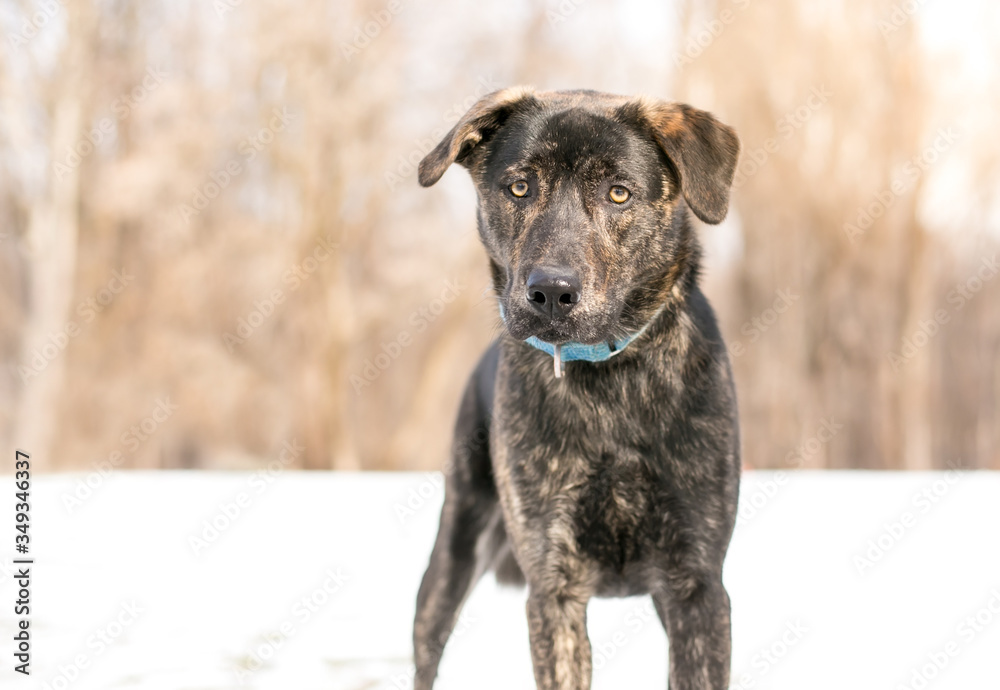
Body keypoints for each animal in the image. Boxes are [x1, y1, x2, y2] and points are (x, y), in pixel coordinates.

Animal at [408, 87, 744, 688]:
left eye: (618, 193)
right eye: (519, 187)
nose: (551, 292)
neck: (610, 380)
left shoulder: (697, 586)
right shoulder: (554, 588)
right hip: (453, 553)